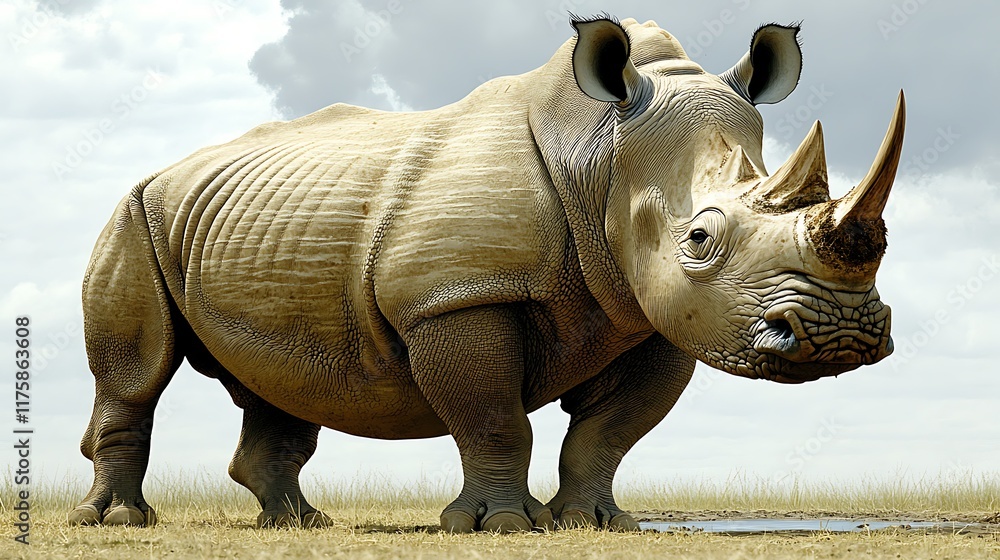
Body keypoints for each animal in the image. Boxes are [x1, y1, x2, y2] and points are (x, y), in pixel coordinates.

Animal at [71, 16, 903, 532]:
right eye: (699, 238)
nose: (839, 336)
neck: (601, 156)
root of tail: (167, 169)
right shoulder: (454, 297)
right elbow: (494, 415)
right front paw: (499, 525)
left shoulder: (654, 313)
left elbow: (609, 431)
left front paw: (596, 522)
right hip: (134, 213)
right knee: (136, 372)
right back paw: (117, 521)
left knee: (284, 377)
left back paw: (297, 523)